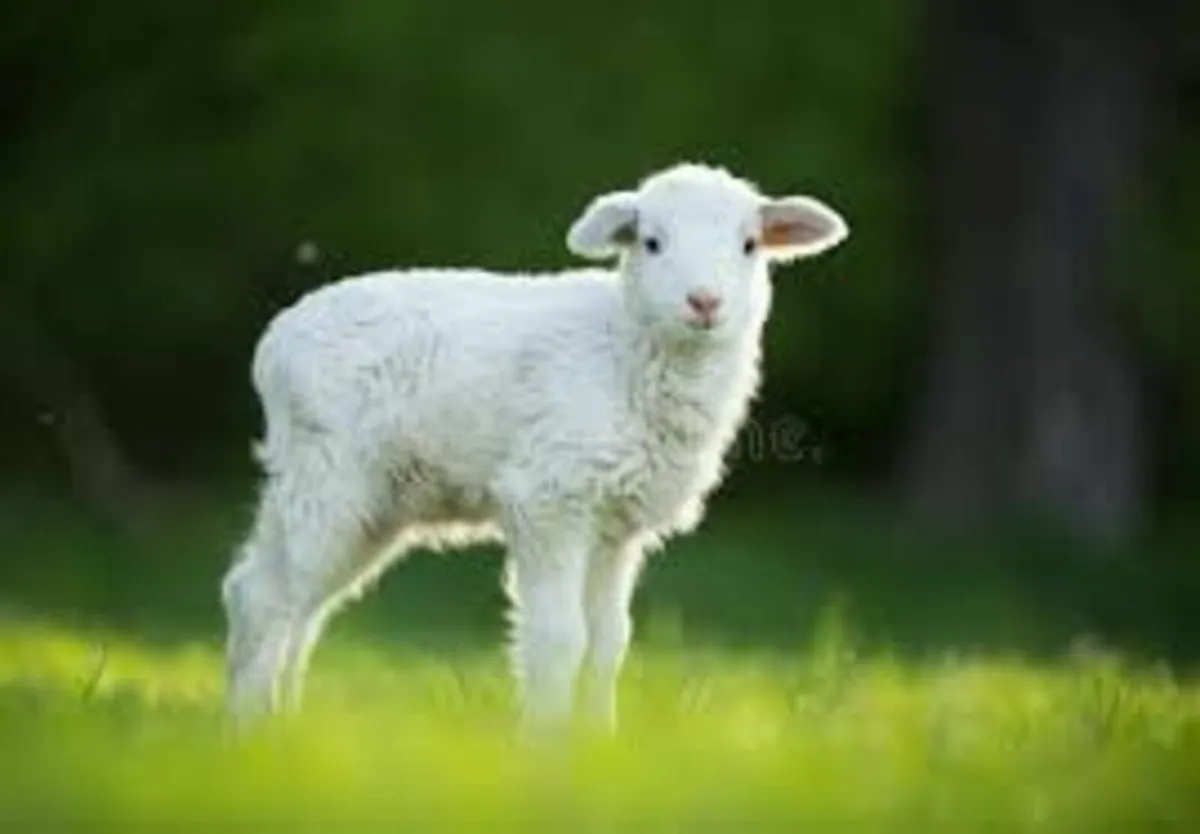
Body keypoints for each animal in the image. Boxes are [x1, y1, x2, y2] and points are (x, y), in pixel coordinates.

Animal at [219, 161, 849, 735]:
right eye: (652, 242)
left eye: (749, 245)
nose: (705, 302)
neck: (623, 347)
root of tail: (275, 343)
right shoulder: (550, 498)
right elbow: (560, 639)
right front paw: (546, 747)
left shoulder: (617, 524)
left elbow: (608, 643)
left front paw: (601, 744)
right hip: (329, 474)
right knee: (268, 598)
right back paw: (250, 734)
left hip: (364, 498)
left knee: (287, 599)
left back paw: (283, 725)